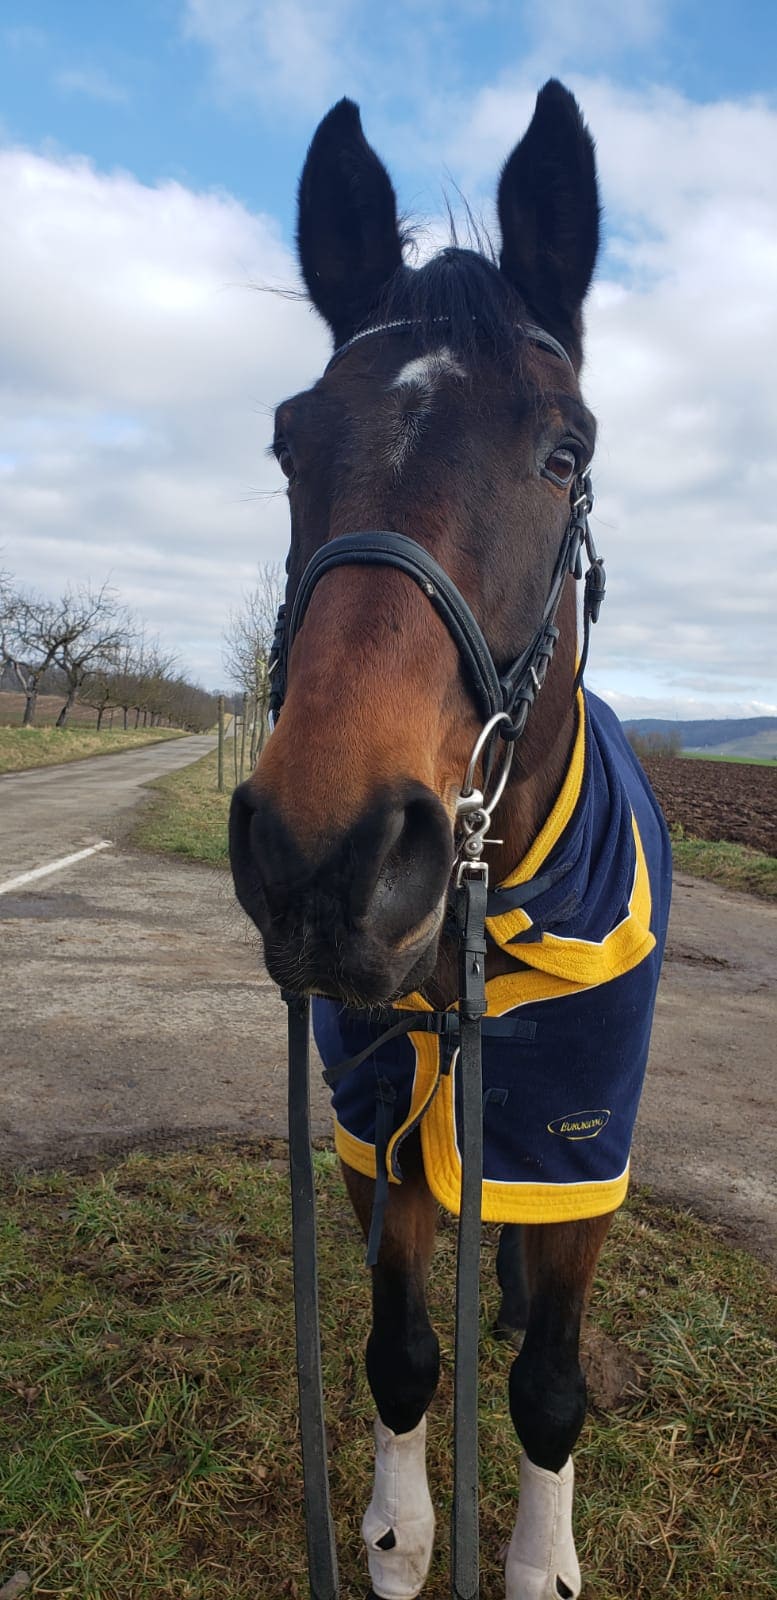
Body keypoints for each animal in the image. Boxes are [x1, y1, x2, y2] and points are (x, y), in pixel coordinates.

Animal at [227, 81, 671, 1600]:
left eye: (567, 450)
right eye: (290, 441)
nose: (326, 861)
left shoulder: (579, 1140)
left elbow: (547, 1386)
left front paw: (540, 1558)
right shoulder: (380, 1121)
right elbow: (402, 1354)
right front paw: (399, 1532)